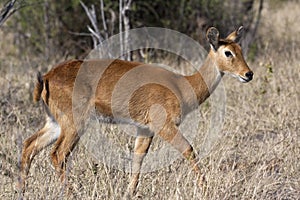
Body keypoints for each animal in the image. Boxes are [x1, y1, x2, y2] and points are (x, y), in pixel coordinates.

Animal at [18, 25, 253, 196]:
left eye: (241, 50)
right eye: (228, 52)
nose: (248, 74)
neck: (182, 85)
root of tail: (47, 77)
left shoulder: (144, 130)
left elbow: (138, 158)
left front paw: (129, 192)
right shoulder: (164, 126)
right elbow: (189, 149)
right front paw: (206, 189)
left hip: (55, 123)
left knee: (29, 145)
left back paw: (22, 191)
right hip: (74, 124)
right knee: (58, 155)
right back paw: (70, 194)